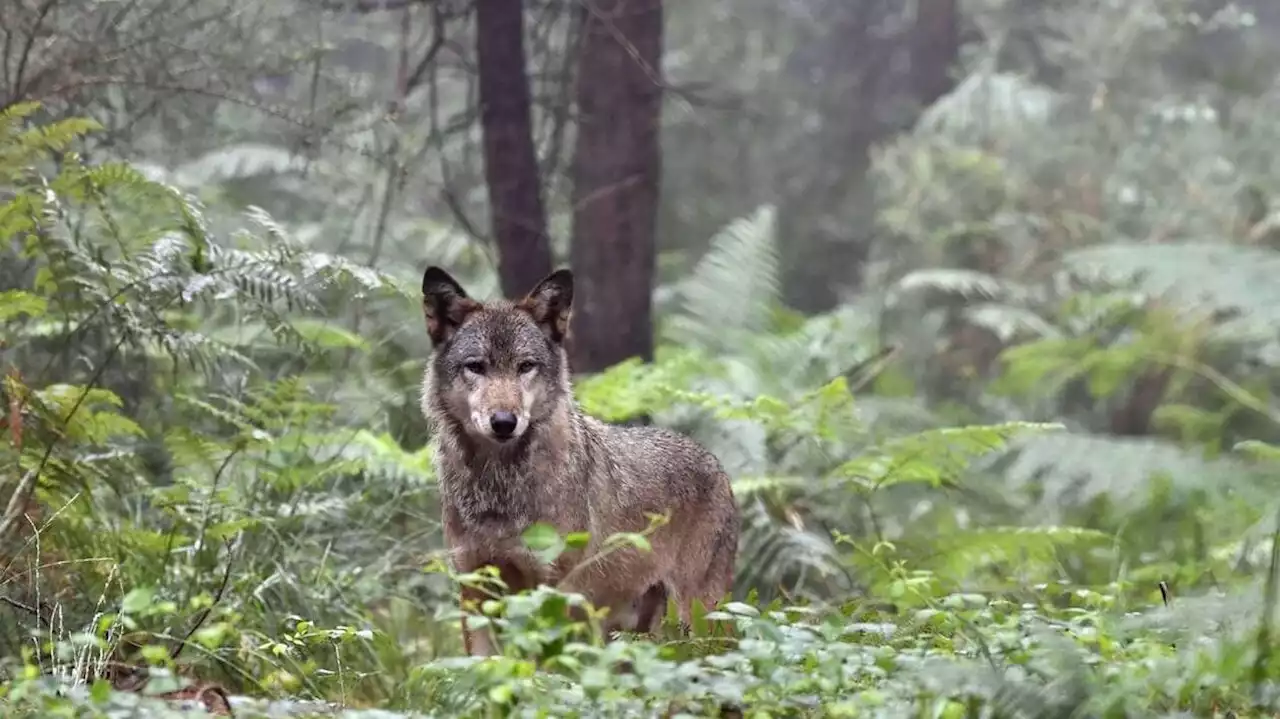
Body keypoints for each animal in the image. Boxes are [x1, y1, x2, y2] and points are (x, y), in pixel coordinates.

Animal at [419, 266, 742, 652]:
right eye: (476, 367)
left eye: (525, 366)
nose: (504, 422)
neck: (498, 488)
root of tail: (716, 464)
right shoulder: (475, 590)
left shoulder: (554, 593)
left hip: (698, 621)